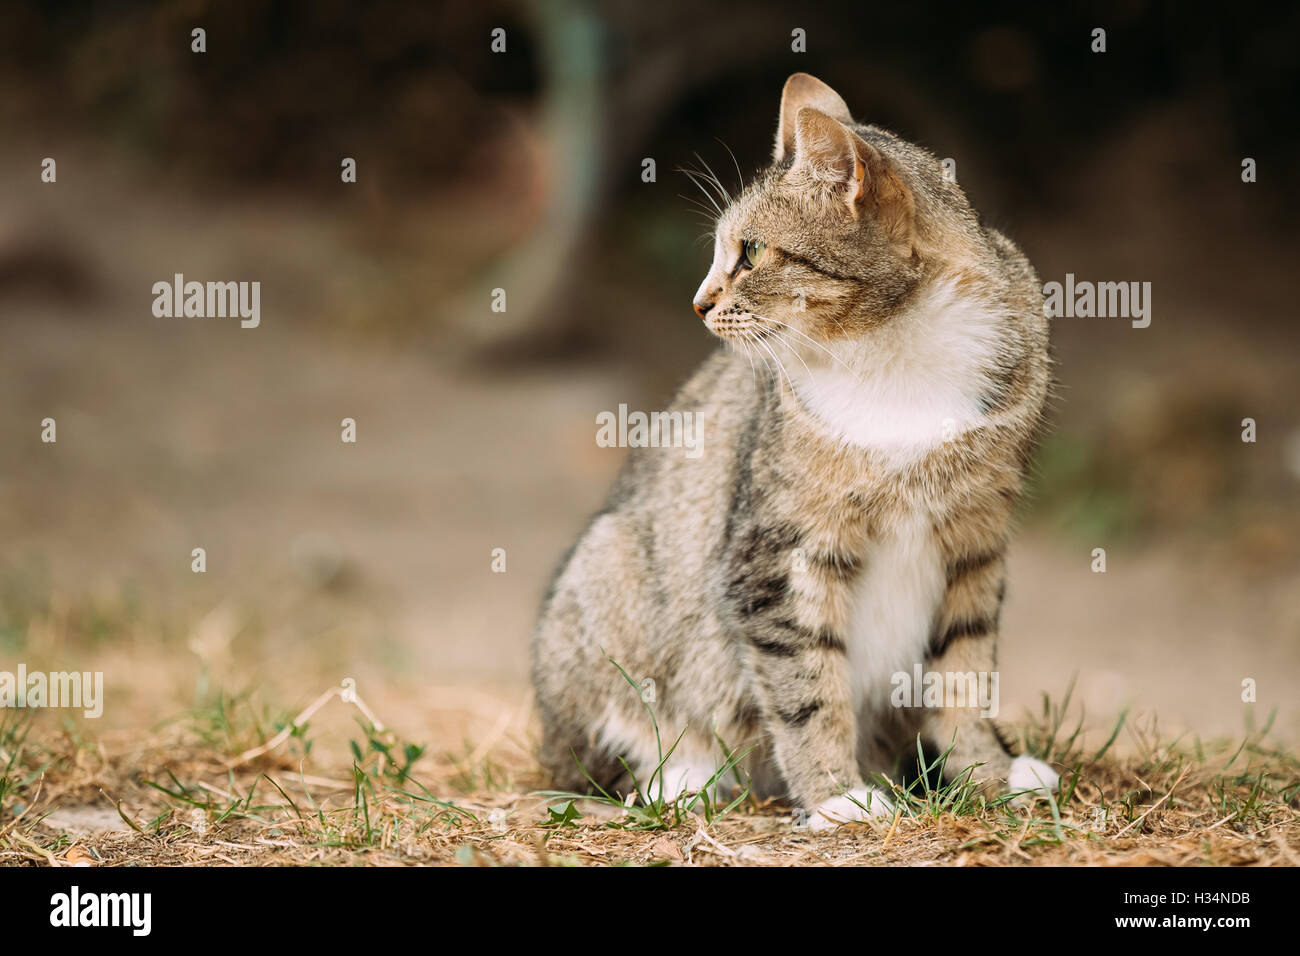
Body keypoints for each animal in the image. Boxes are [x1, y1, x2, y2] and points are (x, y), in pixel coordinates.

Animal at [533, 72, 1060, 832]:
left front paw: (987, 772)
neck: (893, 353)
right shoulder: (776, 555)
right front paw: (838, 796)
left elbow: (964, 672)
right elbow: (807, 689)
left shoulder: (976, 541)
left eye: (751, 253)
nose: (698, 303)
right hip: (609, 568)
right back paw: (681, 779)